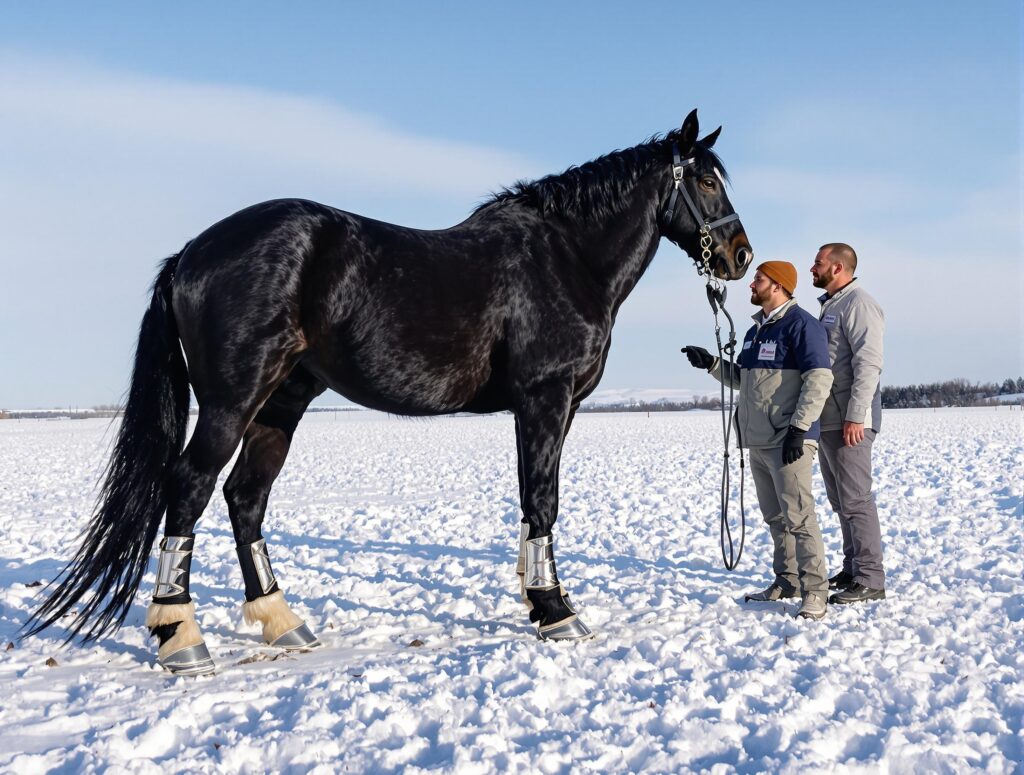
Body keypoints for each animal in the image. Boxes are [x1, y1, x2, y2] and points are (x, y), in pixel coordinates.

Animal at [25, 109, 752, 674]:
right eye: (706, 179)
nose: (740, 256)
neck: (565, 258)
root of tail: (191, 255)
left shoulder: (557, 408)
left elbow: (532, 503)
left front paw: (536, 599)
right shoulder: (545, 400)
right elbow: (542, 500)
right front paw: (556, 611)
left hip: (281, 404)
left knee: (245, 496)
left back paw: (282, 620)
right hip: (233, 402)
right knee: (190, 488)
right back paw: (181, 638)